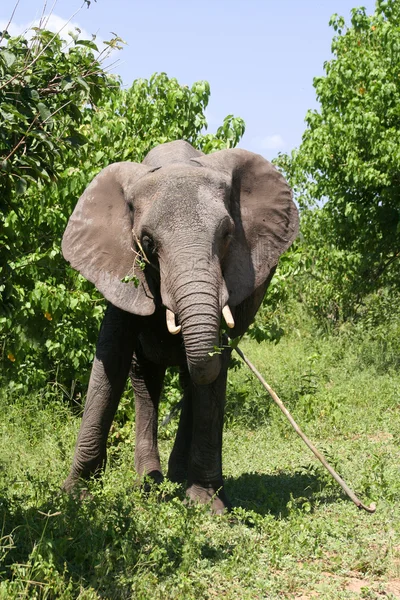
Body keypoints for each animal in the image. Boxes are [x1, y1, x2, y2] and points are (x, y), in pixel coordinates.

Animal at [61, 138, 298, 512]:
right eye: (147, 242)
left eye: (227, 234)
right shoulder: (120, 268)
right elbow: (111, 357)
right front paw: (75, 497)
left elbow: (212, 371)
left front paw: (207, 506)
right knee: (146, 380)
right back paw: (151, 482)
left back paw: (173, 478)